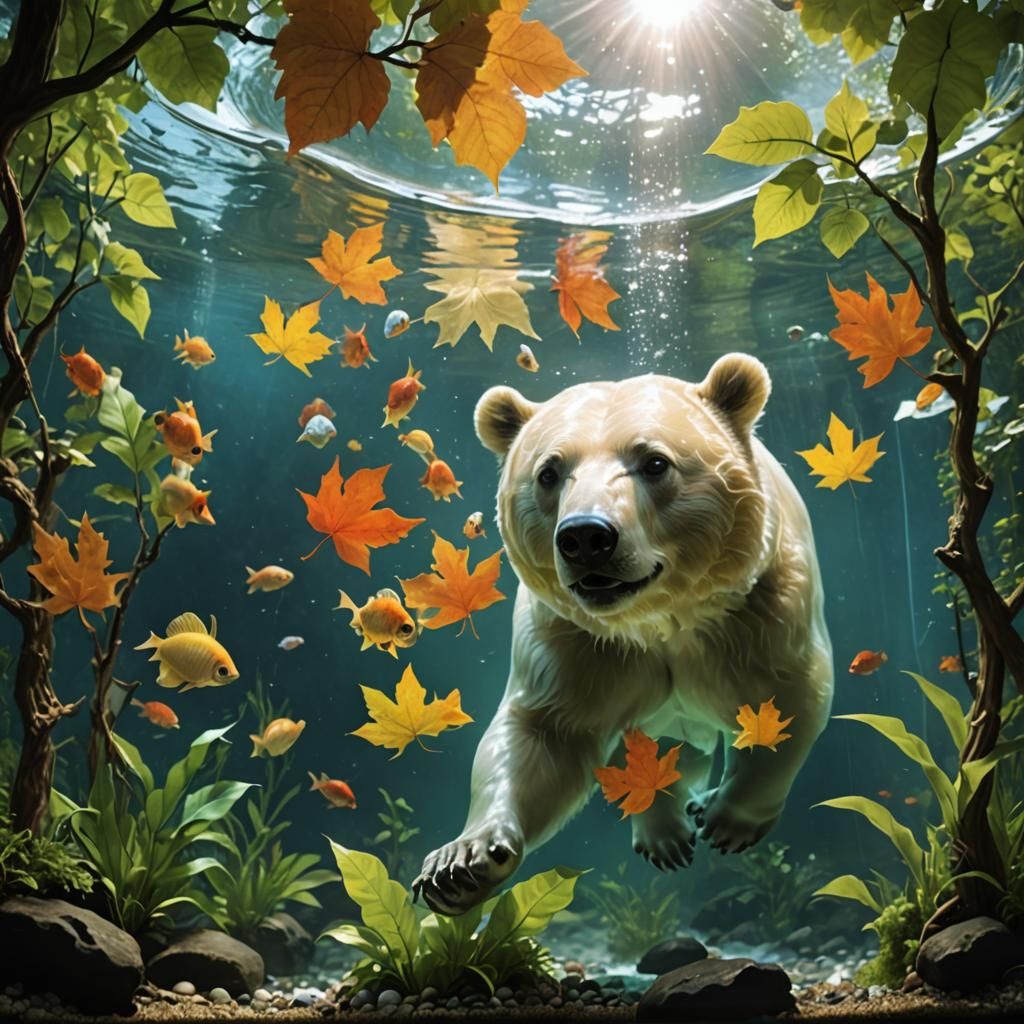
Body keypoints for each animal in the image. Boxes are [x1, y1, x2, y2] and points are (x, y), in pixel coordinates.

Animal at [413, 354, 834, 916]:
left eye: (654, 462)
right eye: (549, 472)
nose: (586, 537)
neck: (658, 621)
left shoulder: (758, 611)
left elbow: (782, 702)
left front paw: (728, 819)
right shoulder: (575, 641)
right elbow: (543, 737)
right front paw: (460, 864)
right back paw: (663, 833)